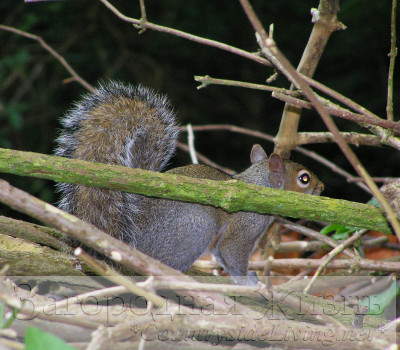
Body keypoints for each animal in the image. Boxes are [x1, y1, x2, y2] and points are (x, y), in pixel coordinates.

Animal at [55, 81, 324, 284]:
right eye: (304, 178)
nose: (322, 188)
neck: (259, 185)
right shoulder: (244, 226)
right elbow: (232, 253)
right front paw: (247, 281)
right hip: (194, 227)